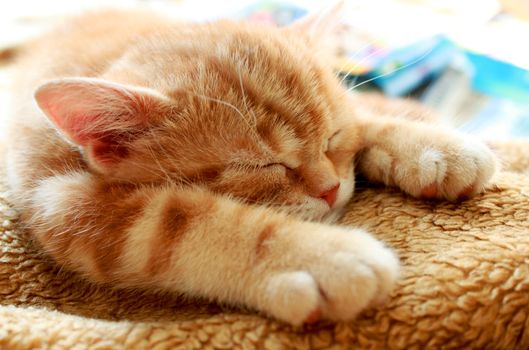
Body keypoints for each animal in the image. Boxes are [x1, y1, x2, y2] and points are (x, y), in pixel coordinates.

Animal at [6, 7, 498, 326]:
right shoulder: (61, 200)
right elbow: (179, 222)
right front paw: (319, 256)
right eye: (263, 166)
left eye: (332, 138)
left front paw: (431, 147)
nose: (330, 189)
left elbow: (364, 117)